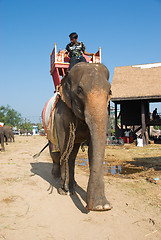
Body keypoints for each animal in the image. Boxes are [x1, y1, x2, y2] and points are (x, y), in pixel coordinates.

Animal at [49, 62, 112, 212]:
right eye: (79, 90)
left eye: (109, 91)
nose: (90, 207)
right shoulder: (61, 114)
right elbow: (64, 146)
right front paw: (64, 191)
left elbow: (93, 149)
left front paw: (102, 206)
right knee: (57, 153)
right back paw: (58, 179)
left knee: (72, 156)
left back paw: (73, 185)